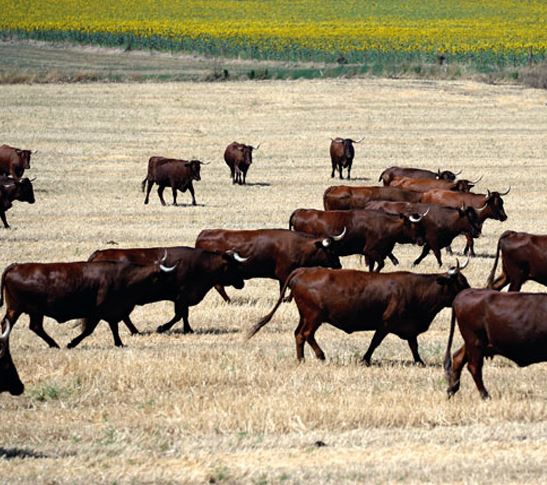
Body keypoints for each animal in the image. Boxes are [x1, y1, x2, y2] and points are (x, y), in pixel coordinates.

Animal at [0, 255, 178, 346]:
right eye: (164, 278)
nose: (175, 289)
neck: (123, 277)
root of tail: (16, 266)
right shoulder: (98, 311)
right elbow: (88, 330)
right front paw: (72, 343)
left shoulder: (111, 312)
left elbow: (114, 327)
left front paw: (119, 343)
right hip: (26, 309)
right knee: (29, 326)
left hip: (22, 310)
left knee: (25, 326)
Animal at [88, 246, 248, 332]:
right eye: (232, 266)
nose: (241, 283)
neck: (202, 264)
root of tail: (99, 252)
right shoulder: (181, 296)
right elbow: (180, 314)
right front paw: (162, 327)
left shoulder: (183, 299)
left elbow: (184, 314)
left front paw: (188, 329)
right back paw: (135, 331)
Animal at [252, 260, 470, 364]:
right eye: (460, 282)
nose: (470, 292)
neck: (417, 289)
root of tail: (304, 270)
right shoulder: (386, 324)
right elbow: (375, 342)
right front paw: (365, 359)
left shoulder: (408, 327)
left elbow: (413, 346)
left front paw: (420, 361)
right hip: (314, 316)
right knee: (306, 335)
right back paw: (319, 356)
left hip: (305, 316)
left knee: (299, 334)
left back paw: (302, 358)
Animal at [288, 208, 430, 272]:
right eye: (414, 226)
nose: (422, 241)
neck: (384, 225)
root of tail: (300, 211)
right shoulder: (371, 252)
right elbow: (380, 265)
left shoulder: (372, 255)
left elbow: (372, 267)